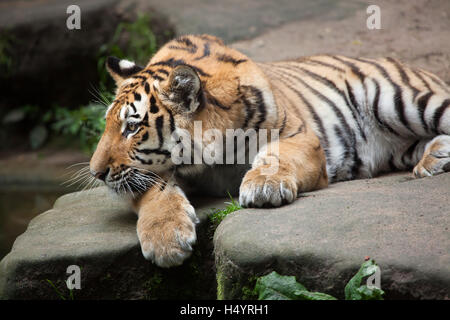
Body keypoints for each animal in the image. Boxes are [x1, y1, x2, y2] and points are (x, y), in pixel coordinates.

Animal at [89, 34, 450, 268]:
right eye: (108, 124)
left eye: (132, 127)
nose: (96, 173)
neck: (213, 158)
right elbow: (153, 190)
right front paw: (166, 239)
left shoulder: (301, 136)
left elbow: (276, 156)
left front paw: (263, 187)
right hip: (398, 144)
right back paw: (433, 159)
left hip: (401, 100)